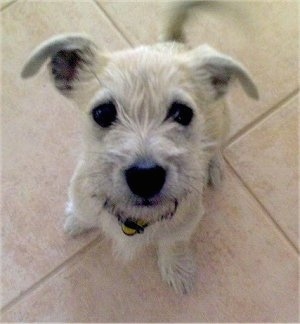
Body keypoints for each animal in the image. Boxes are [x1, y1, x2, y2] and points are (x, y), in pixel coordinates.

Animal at [21, 1, 258, 294]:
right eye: (102, 113)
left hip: (224, 121)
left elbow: (173, 242)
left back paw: (213, 167)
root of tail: (175, 43)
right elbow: (84, 210)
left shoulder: (185, 222)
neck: (134, 218)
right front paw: (77, 220)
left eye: (183, 113)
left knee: (216, 147)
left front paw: (178, 269)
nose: (146, 177)